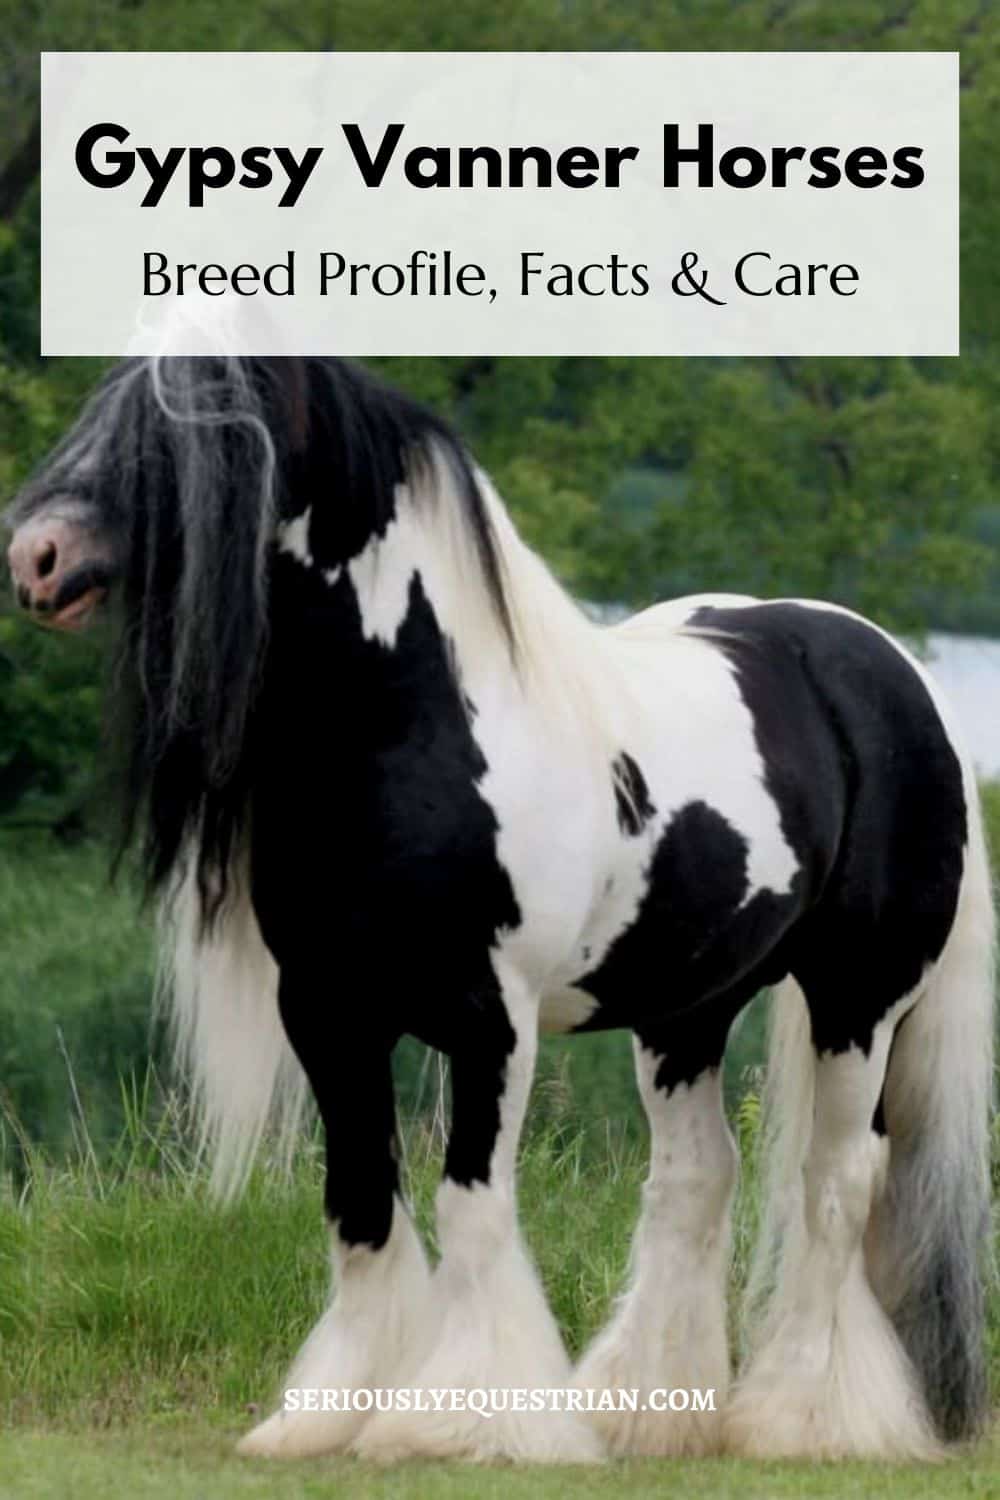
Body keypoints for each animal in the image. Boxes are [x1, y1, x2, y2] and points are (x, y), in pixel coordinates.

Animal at [6, 355, 994, 1464]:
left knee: (838, 1182)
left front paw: (460, 1420)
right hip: (684, 1011)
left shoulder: (491, 1021)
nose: (36, 557)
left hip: (860, 999)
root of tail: (900, 676)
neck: (416, 730)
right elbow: (360, 1199)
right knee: (698, 1178)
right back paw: (649, 1413)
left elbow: (471, 1204)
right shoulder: (328, 1012)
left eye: (184, 424)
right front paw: (333, 1414)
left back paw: (804, 1420)